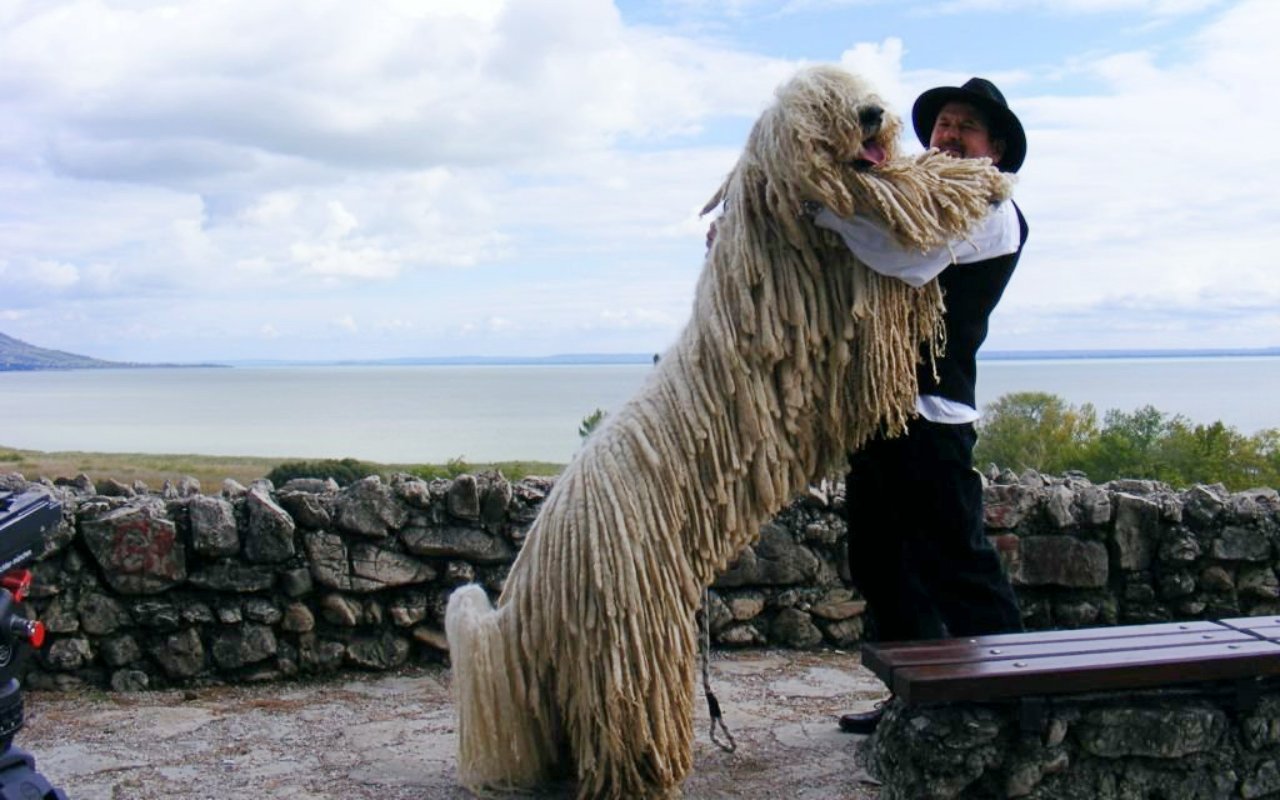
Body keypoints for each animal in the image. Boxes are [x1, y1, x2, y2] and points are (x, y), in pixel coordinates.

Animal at [445, 65, 1013, 793]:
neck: (777, 219)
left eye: (855, 87)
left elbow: (898, 189)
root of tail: (533, 574)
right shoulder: (859, 257)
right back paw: (648, 771)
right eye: (818, 104)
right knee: (622, 706)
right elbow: (904, 199)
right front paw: (976, 179)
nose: (871, 114)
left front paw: (971, 172)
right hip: (631, 622)